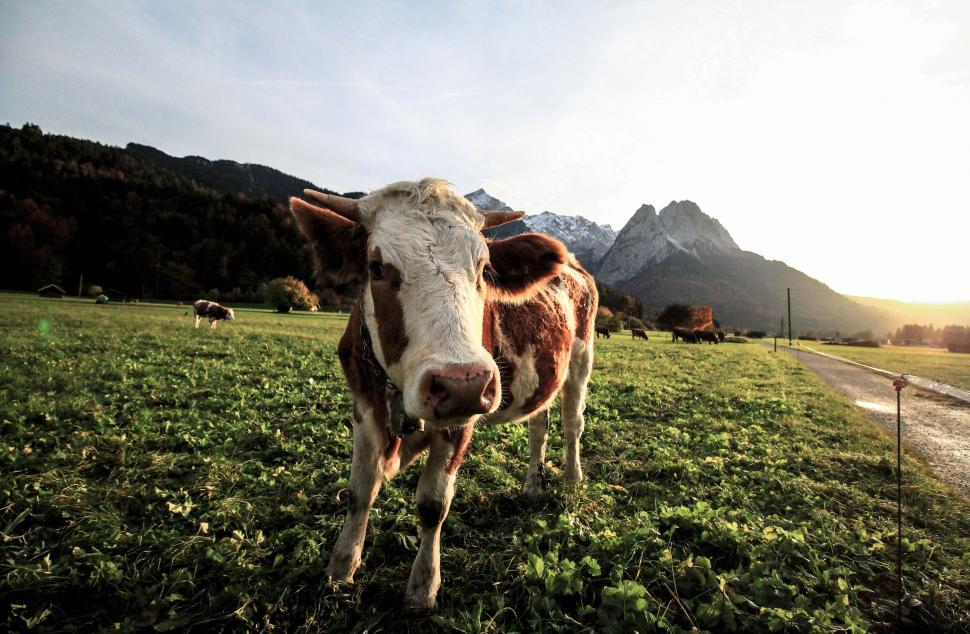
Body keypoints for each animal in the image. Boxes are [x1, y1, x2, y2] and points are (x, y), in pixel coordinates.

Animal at [289, 179, 597, 611]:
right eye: (377, 267)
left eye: (484, 268)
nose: (461, 383)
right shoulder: (364, 405)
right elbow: (359, 490)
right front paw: (341, 566)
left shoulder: (462, 418)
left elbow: (433, 504)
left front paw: (423, 586)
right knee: (539, 425)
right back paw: (534, 485)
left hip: (581, 361)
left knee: (572, 426)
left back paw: (571, 479)